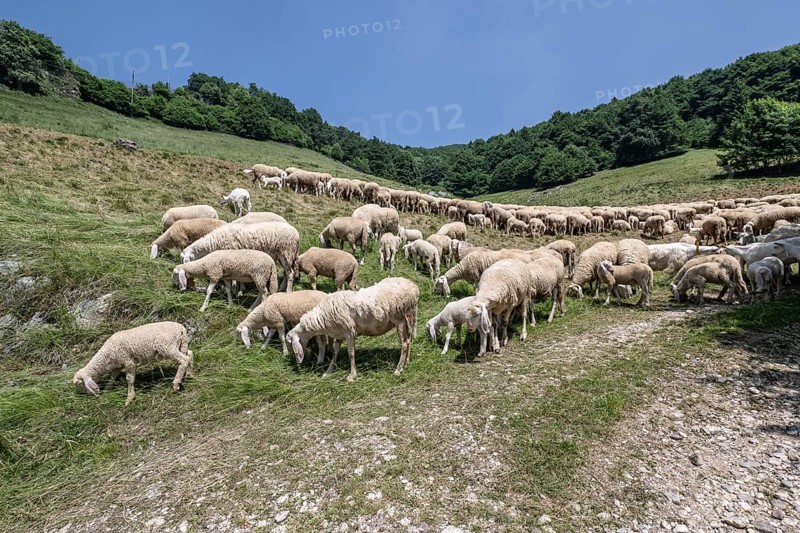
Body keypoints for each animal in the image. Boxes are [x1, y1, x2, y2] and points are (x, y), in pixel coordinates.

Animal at [286, 277, 419, 380]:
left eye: (291, 343)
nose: (296, 362)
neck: (323, 317)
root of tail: (414, 287)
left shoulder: (349, 332)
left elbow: (351, 354)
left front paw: (352, 375)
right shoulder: (339, 334)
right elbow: (335, 353)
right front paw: (328, 371)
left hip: (400, 319)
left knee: (404, 344)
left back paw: (398, 369)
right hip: (407, 319)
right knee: (409, 341)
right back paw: (406, 363)